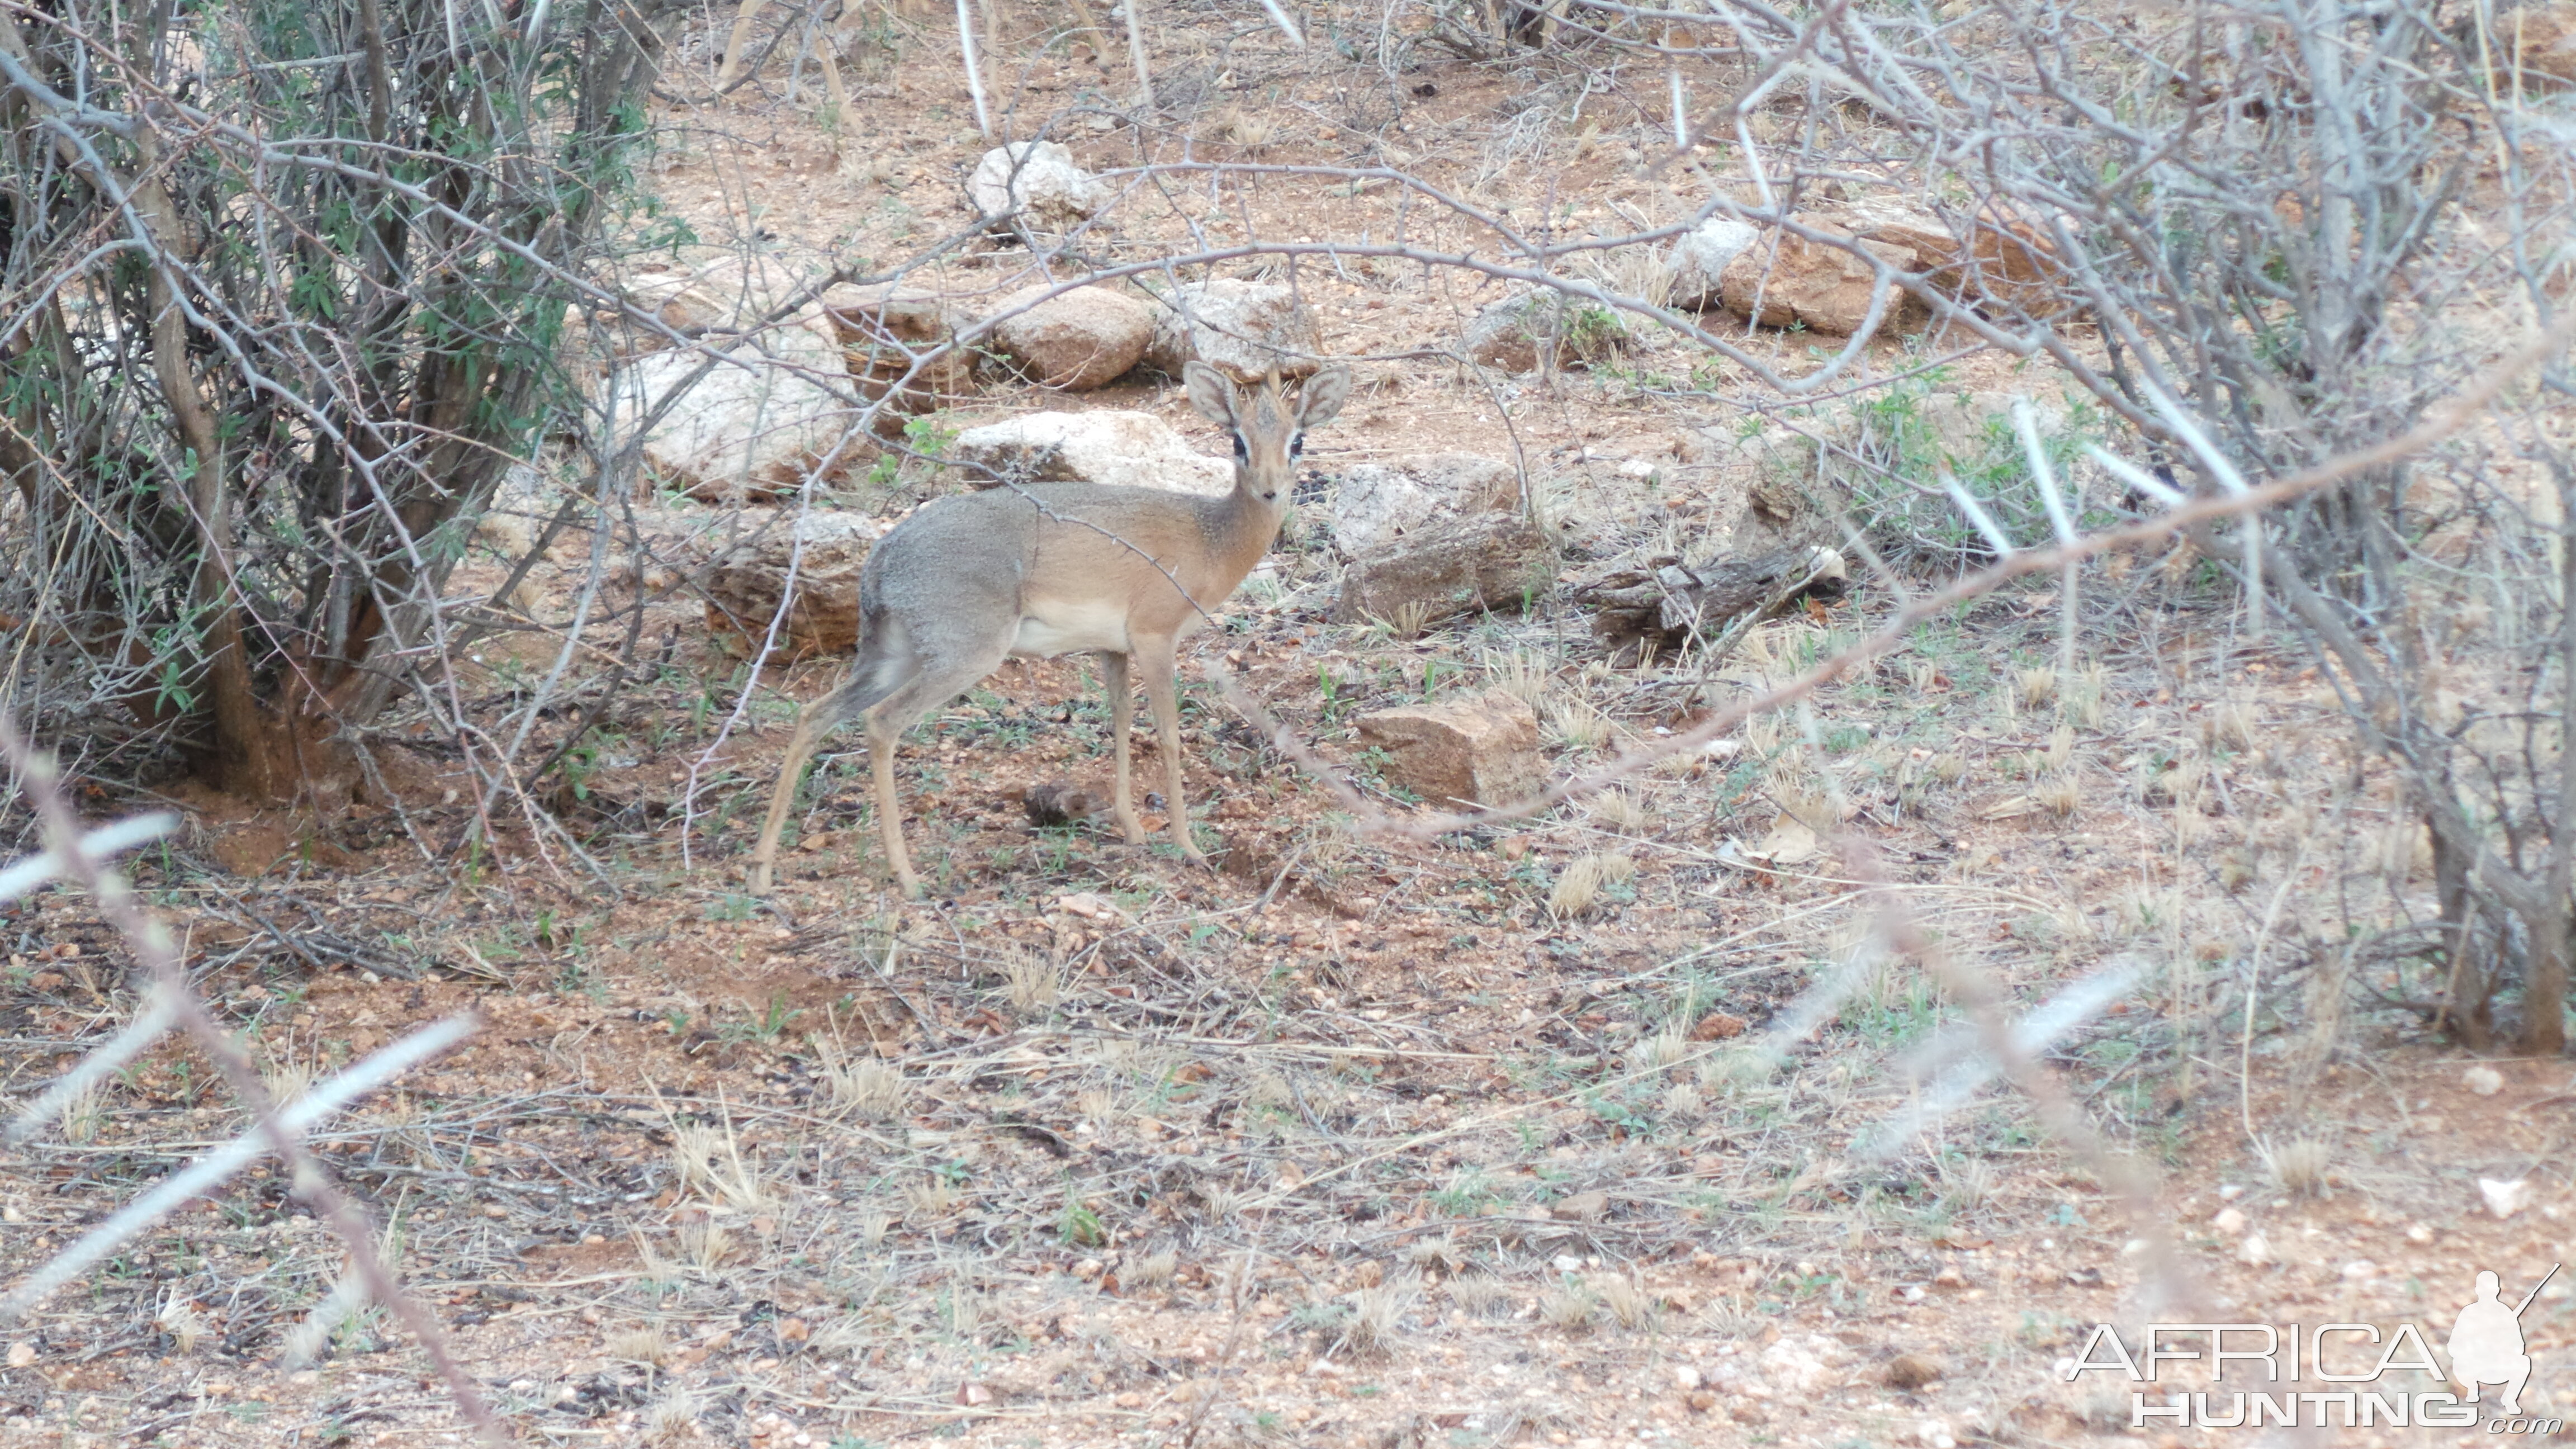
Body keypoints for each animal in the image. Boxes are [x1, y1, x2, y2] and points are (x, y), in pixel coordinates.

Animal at [747, 358, 1360, 892]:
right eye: (1237, 440)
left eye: (1297, 440)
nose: (1271, 489)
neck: (1212, 539)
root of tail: (882, 557)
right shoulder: (1155, 638)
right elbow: (1167, 734)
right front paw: (1188, 846)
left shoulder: (1113, 650)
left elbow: (1120, 723)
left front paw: (1133, 830)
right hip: (963, 657)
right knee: (880, 724)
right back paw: (906, 876)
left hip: (893, 656)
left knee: (814, 715)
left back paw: (762, 871)